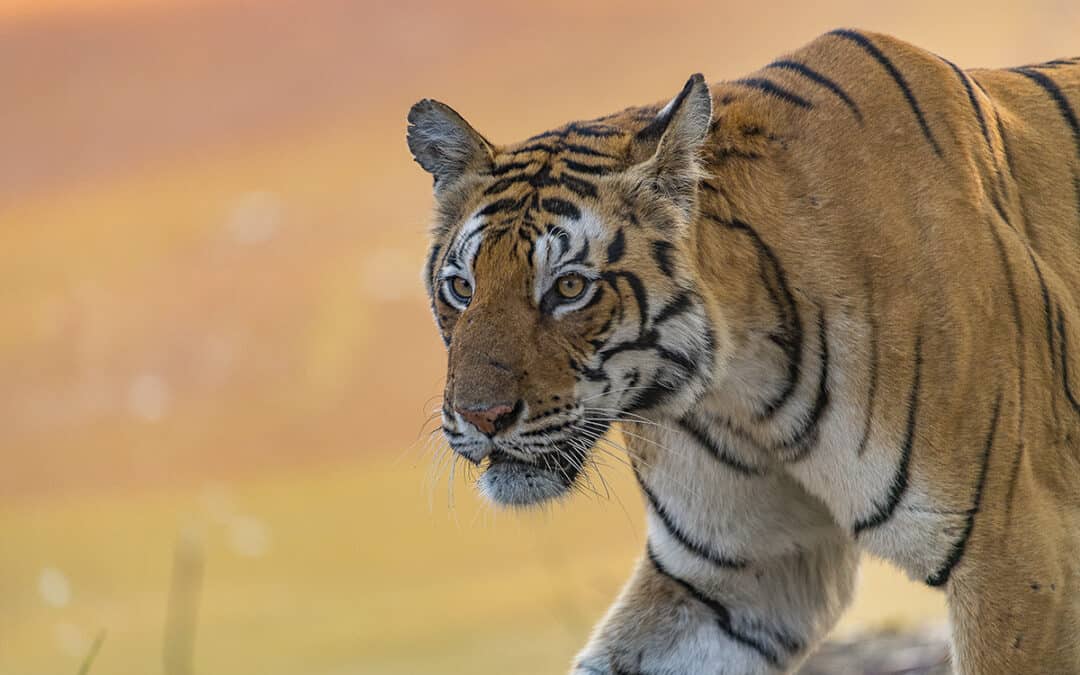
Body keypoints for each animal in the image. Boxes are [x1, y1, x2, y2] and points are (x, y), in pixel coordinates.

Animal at [406, 29, 1080, 674]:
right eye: (461, 288)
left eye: (570, 288)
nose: (481, 418)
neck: (741, 387)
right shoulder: (730, 574)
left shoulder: (1019, 553)